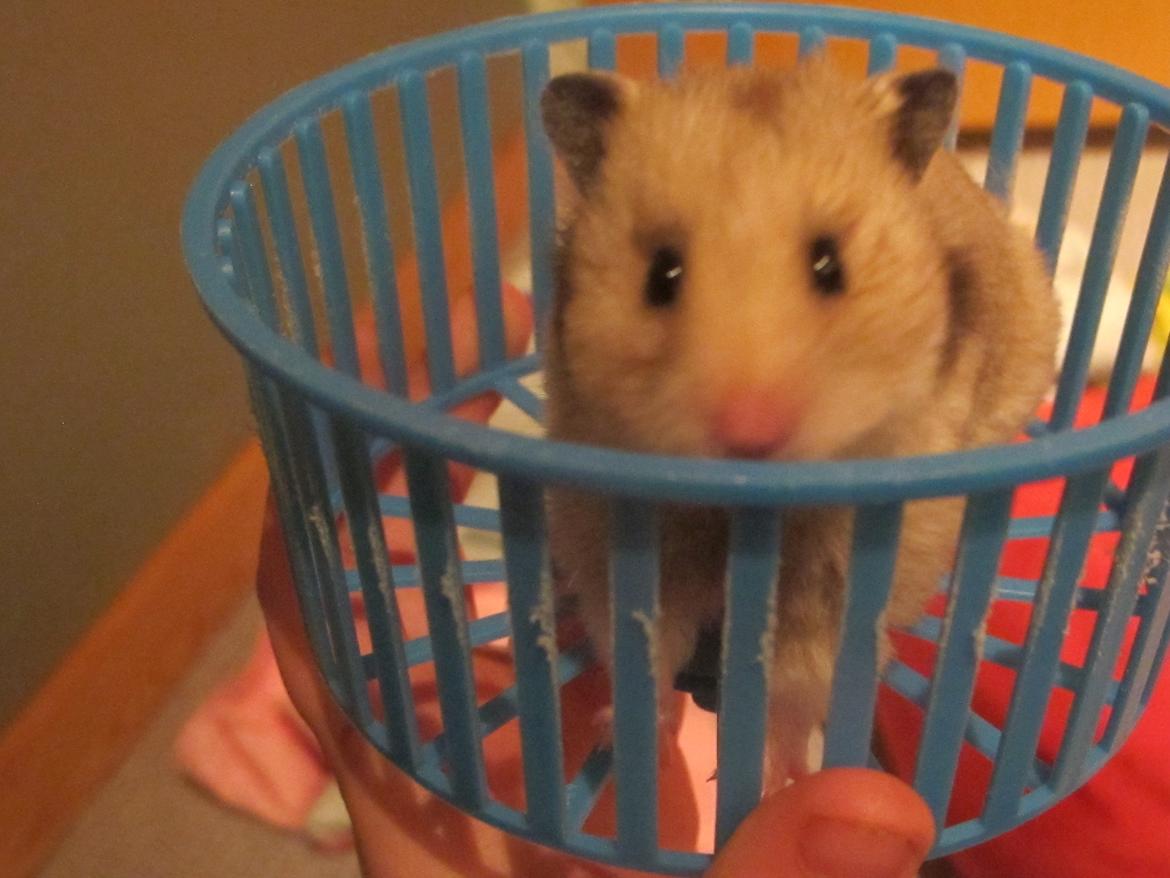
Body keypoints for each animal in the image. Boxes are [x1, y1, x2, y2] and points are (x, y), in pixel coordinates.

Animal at [539, 59, 1060, 789]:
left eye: (829, 265)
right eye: (661, 274)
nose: (750, 433)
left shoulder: (835, 600)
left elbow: (791, 698)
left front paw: (777, 782)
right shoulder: (614, 552)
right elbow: (650, 660)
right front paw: (627, 738)